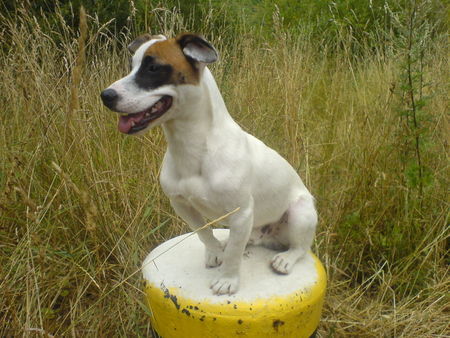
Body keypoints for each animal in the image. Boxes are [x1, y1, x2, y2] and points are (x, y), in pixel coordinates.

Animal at [100, 33, 318, 294]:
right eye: (131, 65)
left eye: (154, 68)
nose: (106, 95)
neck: (192, 147)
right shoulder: (182, 204)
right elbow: (204, 232)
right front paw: (215, 252)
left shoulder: (241, 213)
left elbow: (233, 254)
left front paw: (228, 279)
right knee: (245, 239)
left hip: (300, 214)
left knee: (300, 248)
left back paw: (285, 259)